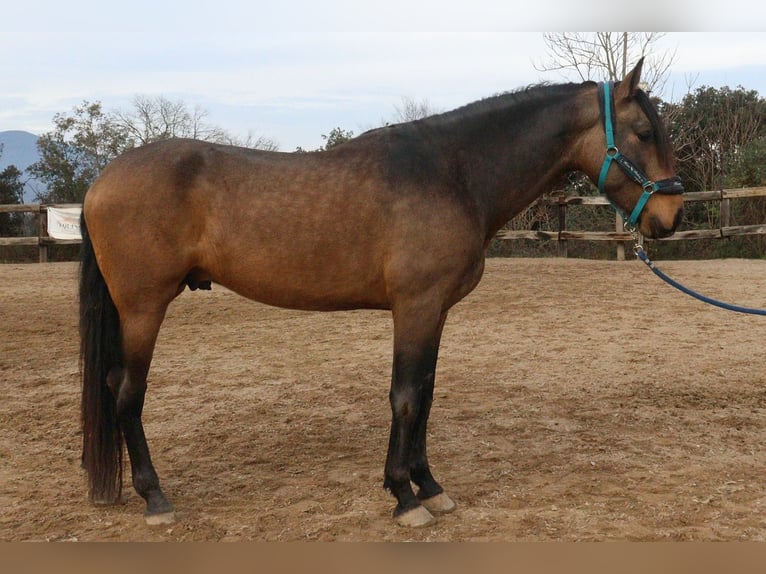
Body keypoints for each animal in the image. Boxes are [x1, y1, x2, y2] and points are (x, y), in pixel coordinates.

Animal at [79, 58, 683, 528]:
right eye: (644, 132)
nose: (671, 216)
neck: (452, 171)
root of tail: (100, 181)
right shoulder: (414, 307)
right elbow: (406, 396)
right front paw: (403, 497)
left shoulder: (435, 311)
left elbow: (427, 394)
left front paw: (430, 487)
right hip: (143, 308)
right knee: (127, 392)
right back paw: (156, 499)